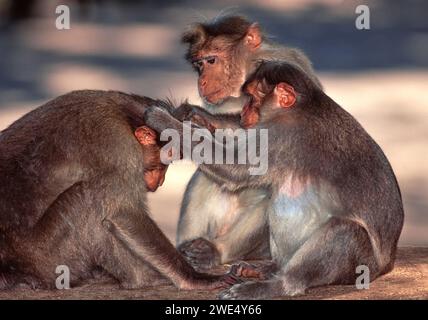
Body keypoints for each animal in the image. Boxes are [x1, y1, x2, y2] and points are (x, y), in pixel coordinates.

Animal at [0, 90, 237, 290]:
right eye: (164, 162)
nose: (159, 182)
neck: (125, 115)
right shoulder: (118, 147)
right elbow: (122, 213)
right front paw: (195, 279)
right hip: (46, 259)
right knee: (92, 199)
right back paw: (144, 279)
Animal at [144, 60, 404, 300]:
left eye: (253, 97)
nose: (245, 112)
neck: (300, 107)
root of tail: (386, 264)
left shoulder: (281, 134)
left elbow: (235, 167)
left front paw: (165, 122)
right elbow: (240, 138)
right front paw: (196, 115)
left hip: (361, 266)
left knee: (346, 230)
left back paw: (278, 284)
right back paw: (269, 269)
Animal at [174, 15, 320, 270]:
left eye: (211, 60)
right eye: (199, 65)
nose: (201, 82)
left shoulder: (287, 69)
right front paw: (196, 117)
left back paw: (216, 251)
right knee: (207, 176)